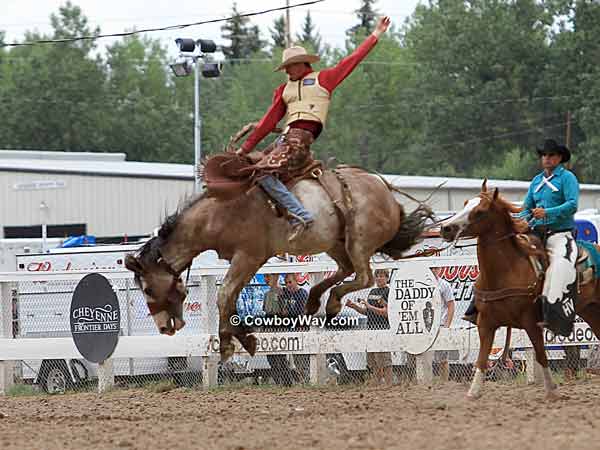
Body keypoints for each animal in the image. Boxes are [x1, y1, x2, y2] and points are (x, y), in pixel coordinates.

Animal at [438, 181, 600, 400]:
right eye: (465, 203)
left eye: (480, 211)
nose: (445, 228)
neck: (506, 271)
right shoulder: (486, 323)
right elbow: (482, 359)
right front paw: (473, 392)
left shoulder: (531, 322)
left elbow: (541, 355)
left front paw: (552, 391)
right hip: (591, 310)